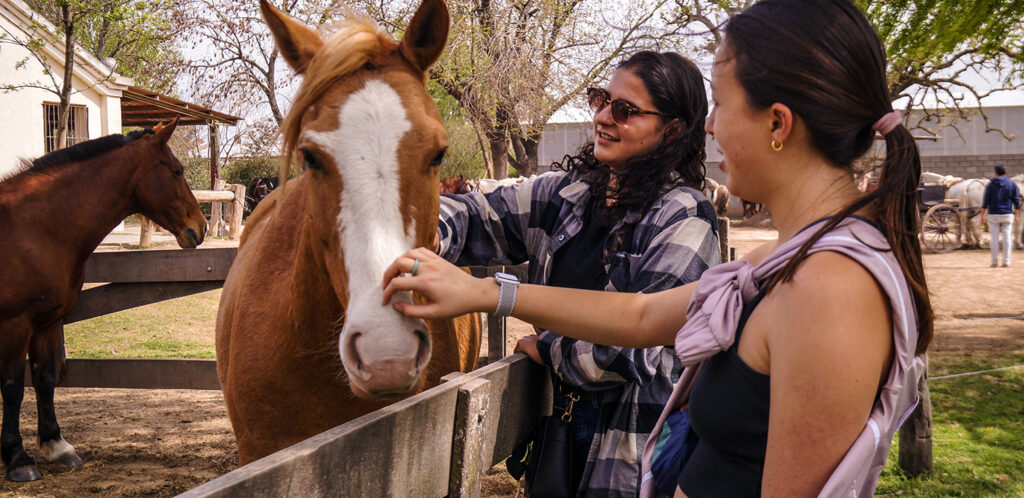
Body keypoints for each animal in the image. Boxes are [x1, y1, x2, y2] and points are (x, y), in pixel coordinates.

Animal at [0, 118, 205, 479]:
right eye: (177, 170)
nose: (202, 226)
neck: (33, 227)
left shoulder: (47, 322)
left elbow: (44, 378)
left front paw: (56, 445)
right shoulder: (15, 325)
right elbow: (12, 386)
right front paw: (18, 459)